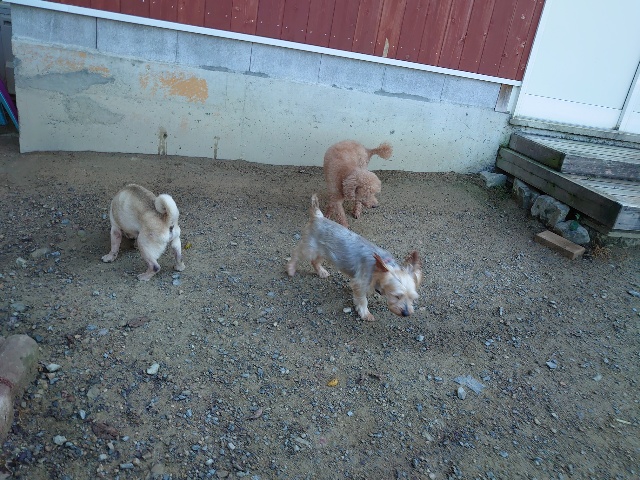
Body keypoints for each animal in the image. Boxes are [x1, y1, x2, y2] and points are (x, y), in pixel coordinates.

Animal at [287, 194, 421, 321]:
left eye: (412, 298)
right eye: (397, 296)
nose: (406, 313)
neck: (378, 269)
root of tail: (318, 216)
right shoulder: (360, 283)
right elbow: (362, 300)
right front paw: (365, 314)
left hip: (324, 252)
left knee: (315, 261)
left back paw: (321, 272)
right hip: (309, 248)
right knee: (296, 254)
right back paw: (291, 269)